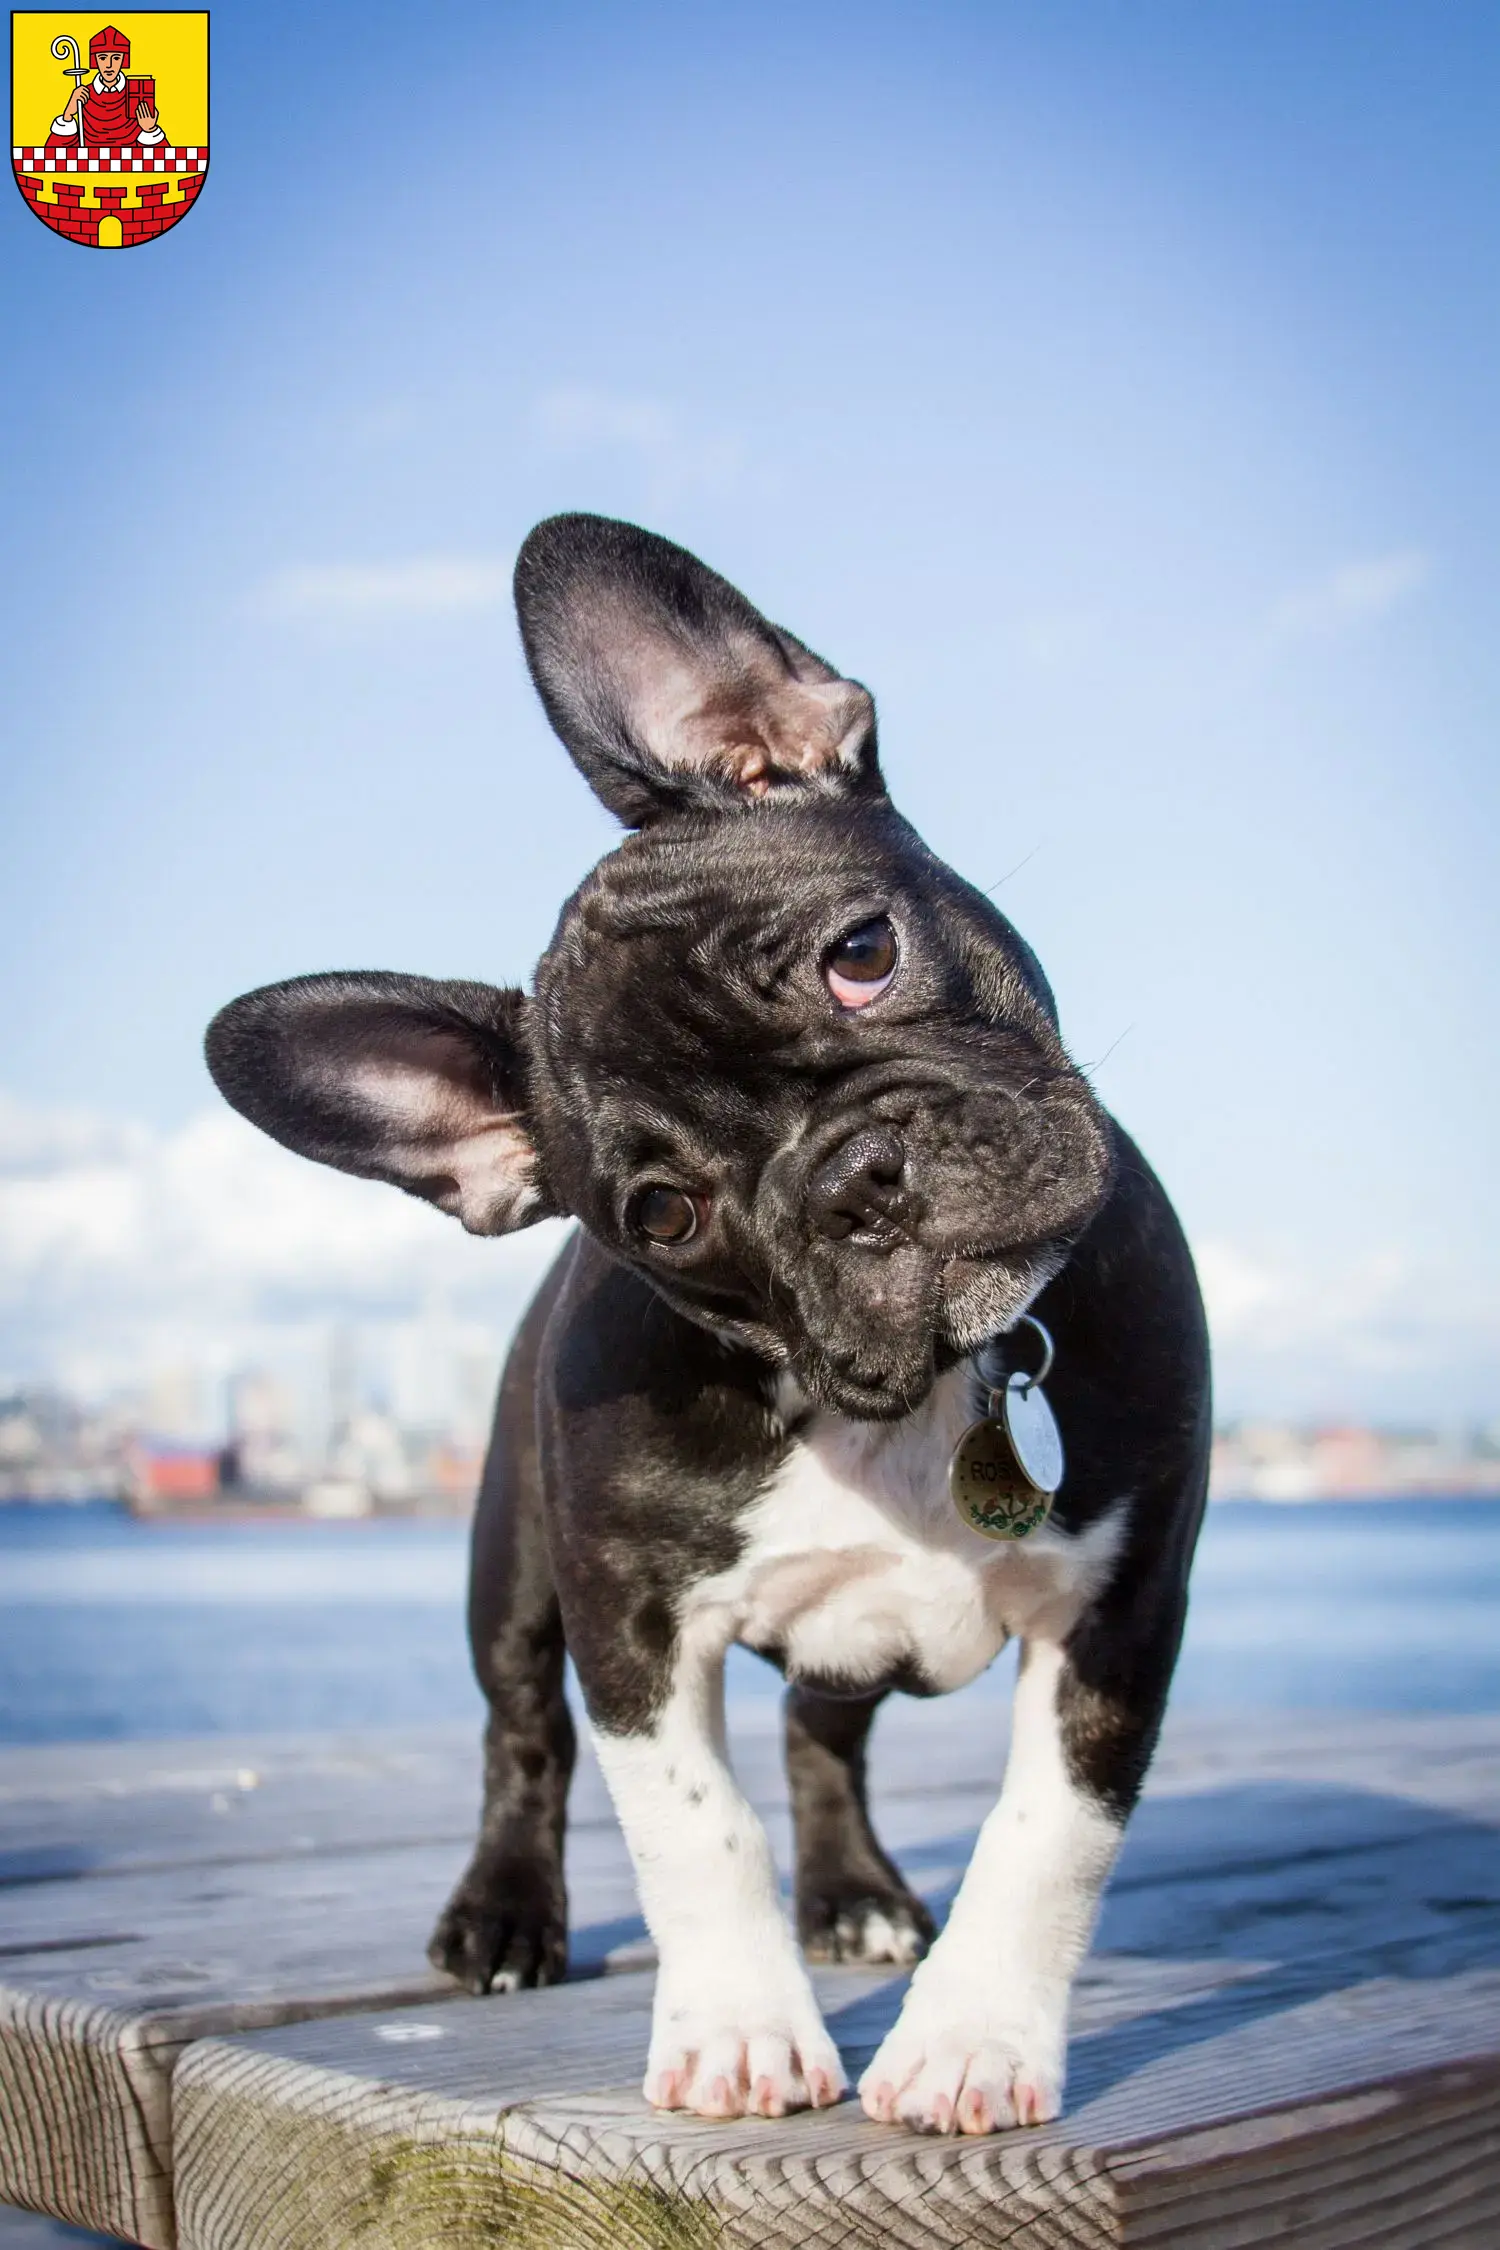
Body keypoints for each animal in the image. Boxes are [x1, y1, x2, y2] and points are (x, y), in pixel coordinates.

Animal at [205, 515, 1214, 2142]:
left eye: (863, 950)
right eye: (667, 1213)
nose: (856, 1178)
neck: (902, 1400)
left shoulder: (1122, 1610)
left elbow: (1047, 1832)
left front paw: (973, 2040)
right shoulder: (629, 1618)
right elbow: (693, 1827)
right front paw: (741, 2030)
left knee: (821, 1738)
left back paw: (856, 1896)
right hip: (511, 1565)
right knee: (521, 1736)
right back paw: (505, 1915)